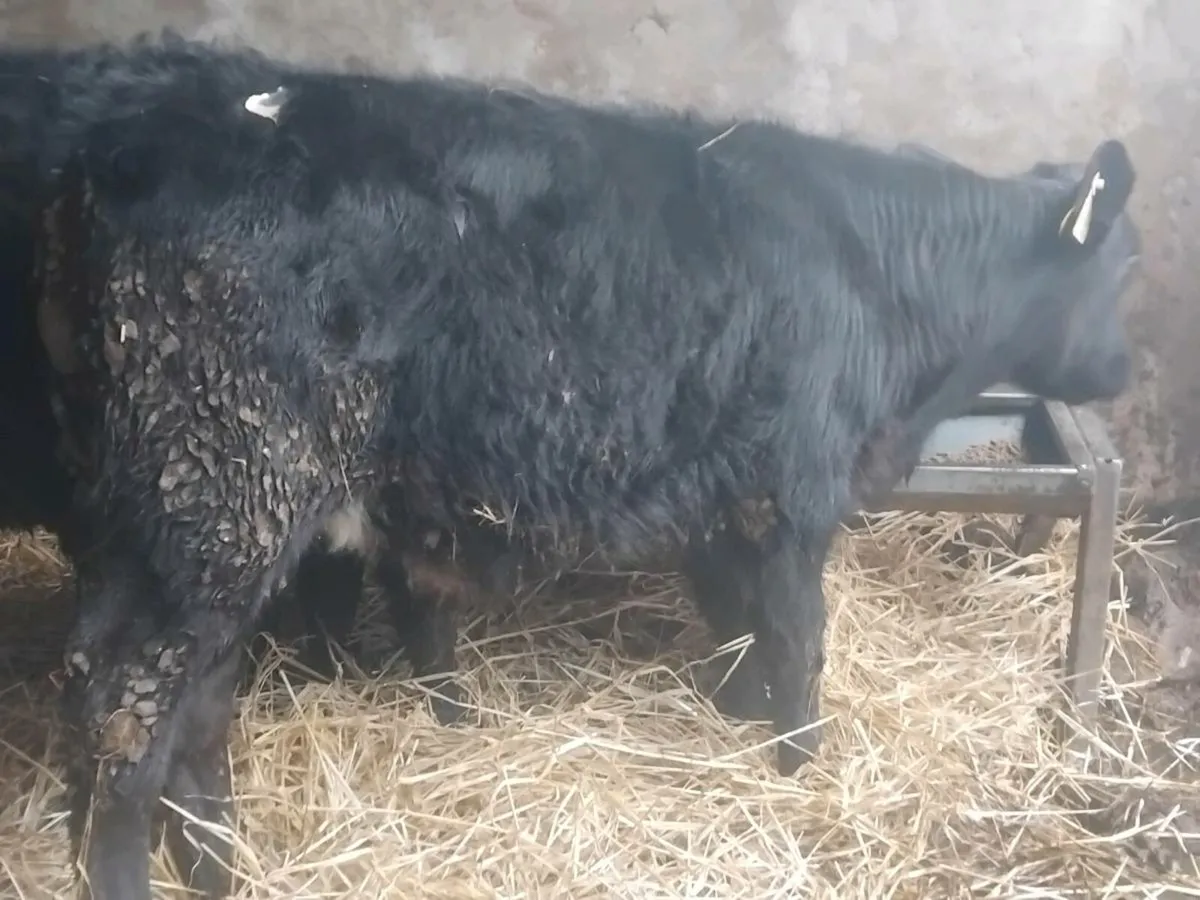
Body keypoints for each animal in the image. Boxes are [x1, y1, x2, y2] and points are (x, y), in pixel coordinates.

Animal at [6, 31, 1138, 900]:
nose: (1131, 369)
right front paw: (801, 769)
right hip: (214, 504)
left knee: (191, 712)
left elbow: (739, 628)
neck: (876, 282)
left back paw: (222, 872)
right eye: (1118, 270)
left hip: (183, 527)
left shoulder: (720, 499)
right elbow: (798, 643)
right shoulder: (790, 491)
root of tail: (114, 156)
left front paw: (740, 722)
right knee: (125, 713)